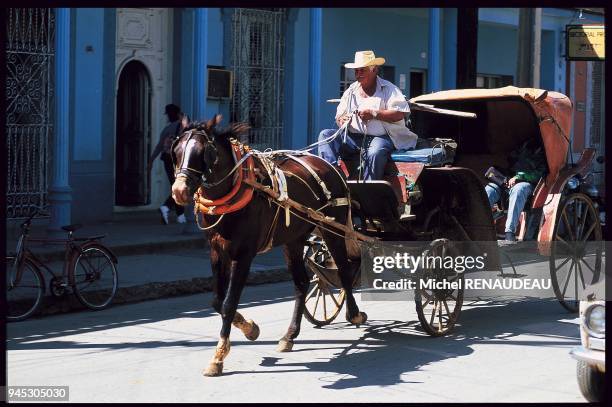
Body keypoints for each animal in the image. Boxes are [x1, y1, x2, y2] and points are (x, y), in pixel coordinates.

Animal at [170, 114, 366, 376]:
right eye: (177, 151)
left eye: (204, 152)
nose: (179, 191)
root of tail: (331, 167)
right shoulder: (216, 251)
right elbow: (217, 301)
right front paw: (250, 328)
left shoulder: (243, 255)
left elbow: (229, 302)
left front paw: (219, 356)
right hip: (294, 240)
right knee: (302, 283)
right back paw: (289, 336)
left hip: (332, 229)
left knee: (344, 270)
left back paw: (354, 315)